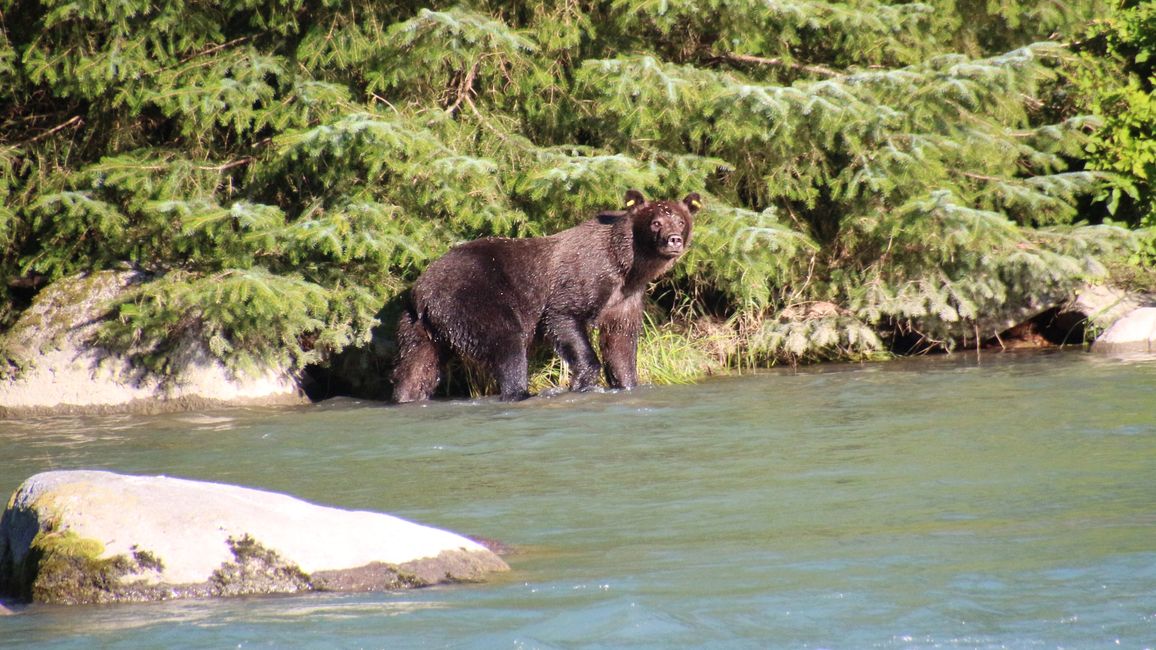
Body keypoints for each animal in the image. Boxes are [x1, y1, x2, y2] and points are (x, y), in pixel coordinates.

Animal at [388, 188, 698, 400]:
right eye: (656, 222)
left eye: (680, 221)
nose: (673, 240)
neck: (628, 266)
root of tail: (422, 292)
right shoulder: (583, 278)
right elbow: (565, 317)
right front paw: (582, 379)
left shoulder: (625, 298)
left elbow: (621, 344)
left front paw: (626, 381)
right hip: (474, 298)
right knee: (507, 345)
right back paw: (519, 391)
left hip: (417, 327)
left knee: (416, 368)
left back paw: (406, 396)